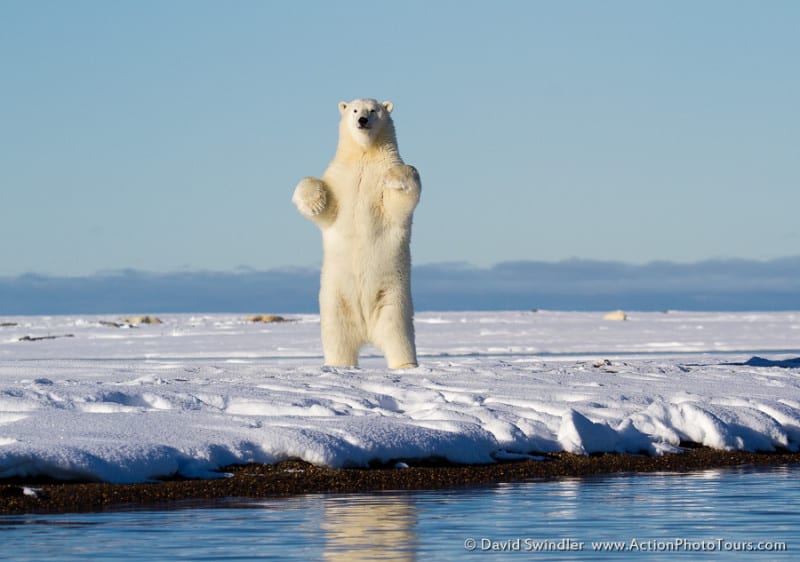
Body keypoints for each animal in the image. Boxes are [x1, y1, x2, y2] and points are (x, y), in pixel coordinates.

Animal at [292, 98, 418, 370]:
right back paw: (339, 365)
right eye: (354, 110)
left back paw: (405, 365)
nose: (362, 121)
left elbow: (401, 197)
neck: (364, 154)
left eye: (374, 110)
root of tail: (367, 331)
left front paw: (394, 178)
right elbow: (325, 208)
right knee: (338, 338)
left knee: (398, 336)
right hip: (335, 301)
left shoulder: (382, 174)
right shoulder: (339, 177)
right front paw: (314, 203)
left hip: (393, 299)